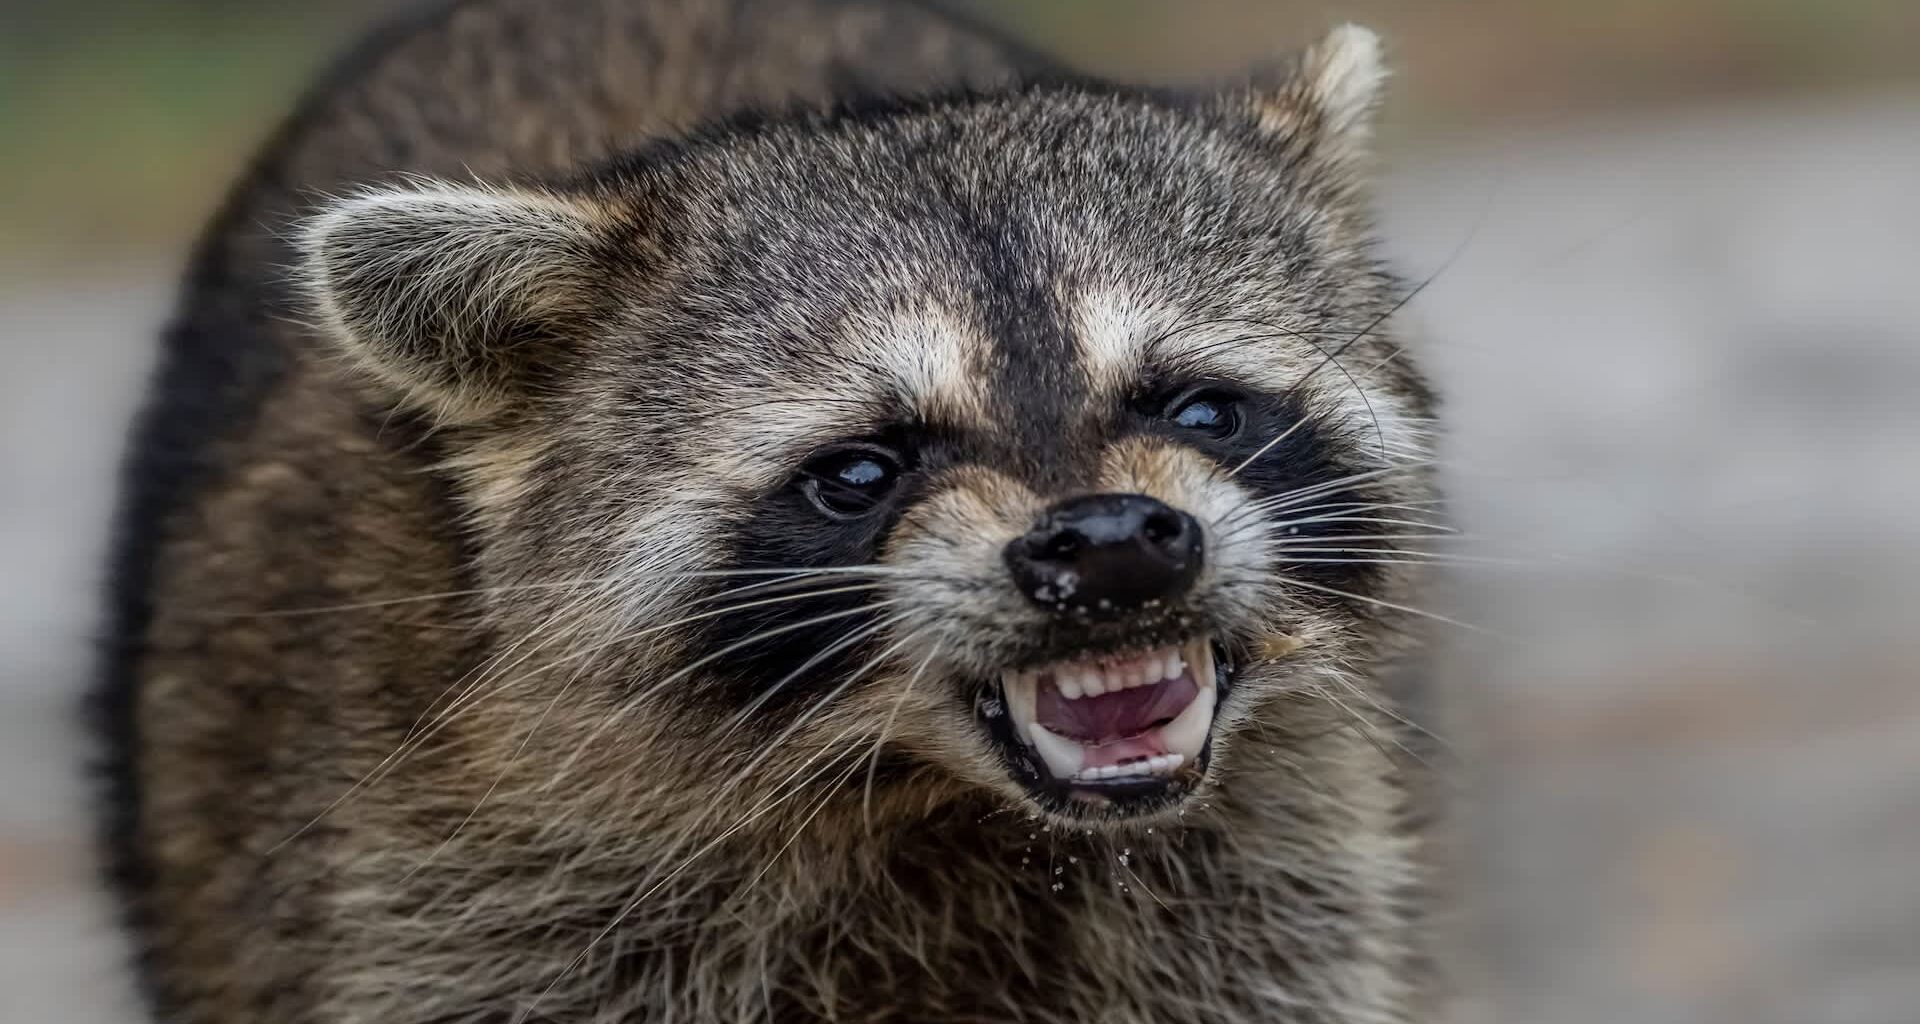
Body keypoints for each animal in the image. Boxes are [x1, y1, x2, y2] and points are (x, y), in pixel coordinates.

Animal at [96, 0, 1444, 1021]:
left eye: (1200, 409)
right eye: (861, 472)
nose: (1112, 546)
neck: (936, 802)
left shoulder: (1257, 888)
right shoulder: (447, 894)